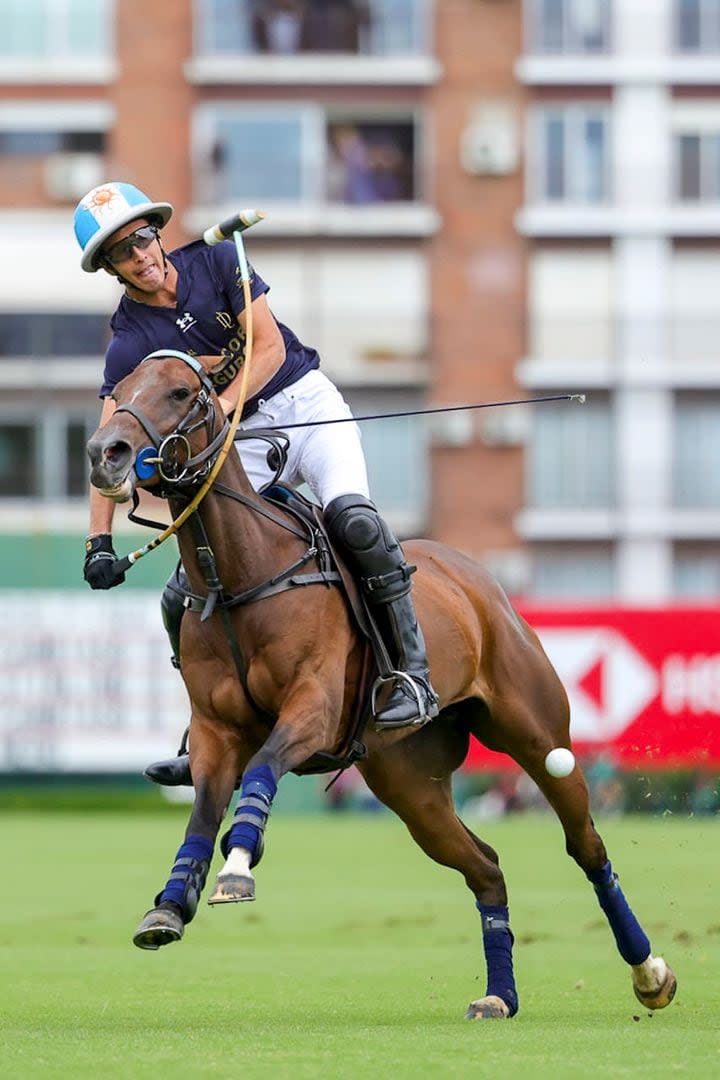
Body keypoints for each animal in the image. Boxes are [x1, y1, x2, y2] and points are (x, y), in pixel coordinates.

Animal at [87, 352, 677, 1019]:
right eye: (118, 392)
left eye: (182, 392)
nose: (106, 453)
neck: (240, 576)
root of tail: (477, 578)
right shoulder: (216, 731)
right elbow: (202, 813)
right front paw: (169, 904)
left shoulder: (313, 709)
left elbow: (261, 769)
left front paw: (238, 865)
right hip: (411, 784)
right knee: (486, 866)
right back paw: (499, 995)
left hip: (537, 734)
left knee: (587, 846)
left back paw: (650, 973)